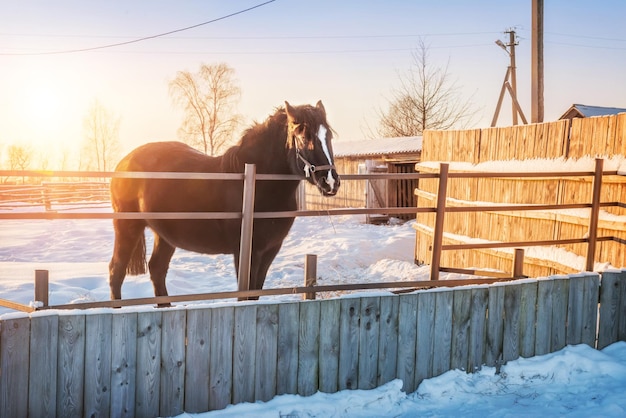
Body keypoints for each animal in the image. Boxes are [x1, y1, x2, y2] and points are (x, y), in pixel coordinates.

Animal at [109, 101, 338, 304]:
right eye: (304, 137)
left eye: (328, 136)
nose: (331, 182)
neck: (256, 184)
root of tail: (123, 163)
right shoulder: (246, 252)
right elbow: (246, 295)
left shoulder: (270, 250)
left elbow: (256, 293)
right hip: (127, 227)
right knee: (116, 271)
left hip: (165, 235)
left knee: (157, 269)